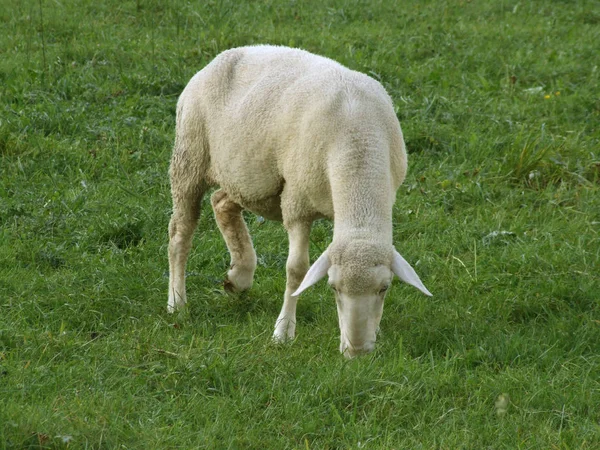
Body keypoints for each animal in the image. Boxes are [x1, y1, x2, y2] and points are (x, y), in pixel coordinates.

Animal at [169, 44, 432, 356]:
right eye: (333, 288)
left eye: (384, 288)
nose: (356, 352)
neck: (357, 145)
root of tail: (229, 53)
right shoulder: (297, 205)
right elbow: (296, 270)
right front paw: (283, 331)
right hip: (190, 156)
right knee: (181, 231)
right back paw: (177, 301)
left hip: (249, 178)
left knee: (221, 202)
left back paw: (239, 276)